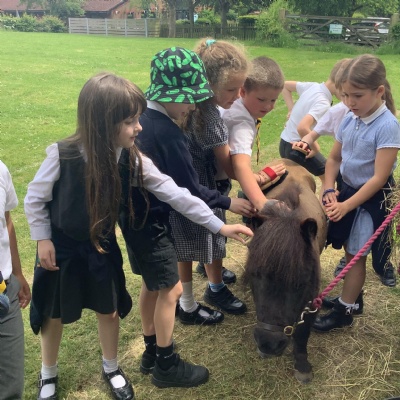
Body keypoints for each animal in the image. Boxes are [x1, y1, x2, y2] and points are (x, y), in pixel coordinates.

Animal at [243, 158, 327, 383]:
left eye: (300, 282)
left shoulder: (312, 298)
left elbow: (303, 331)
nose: (268, 344)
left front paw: (302, 364)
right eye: (254, 274)